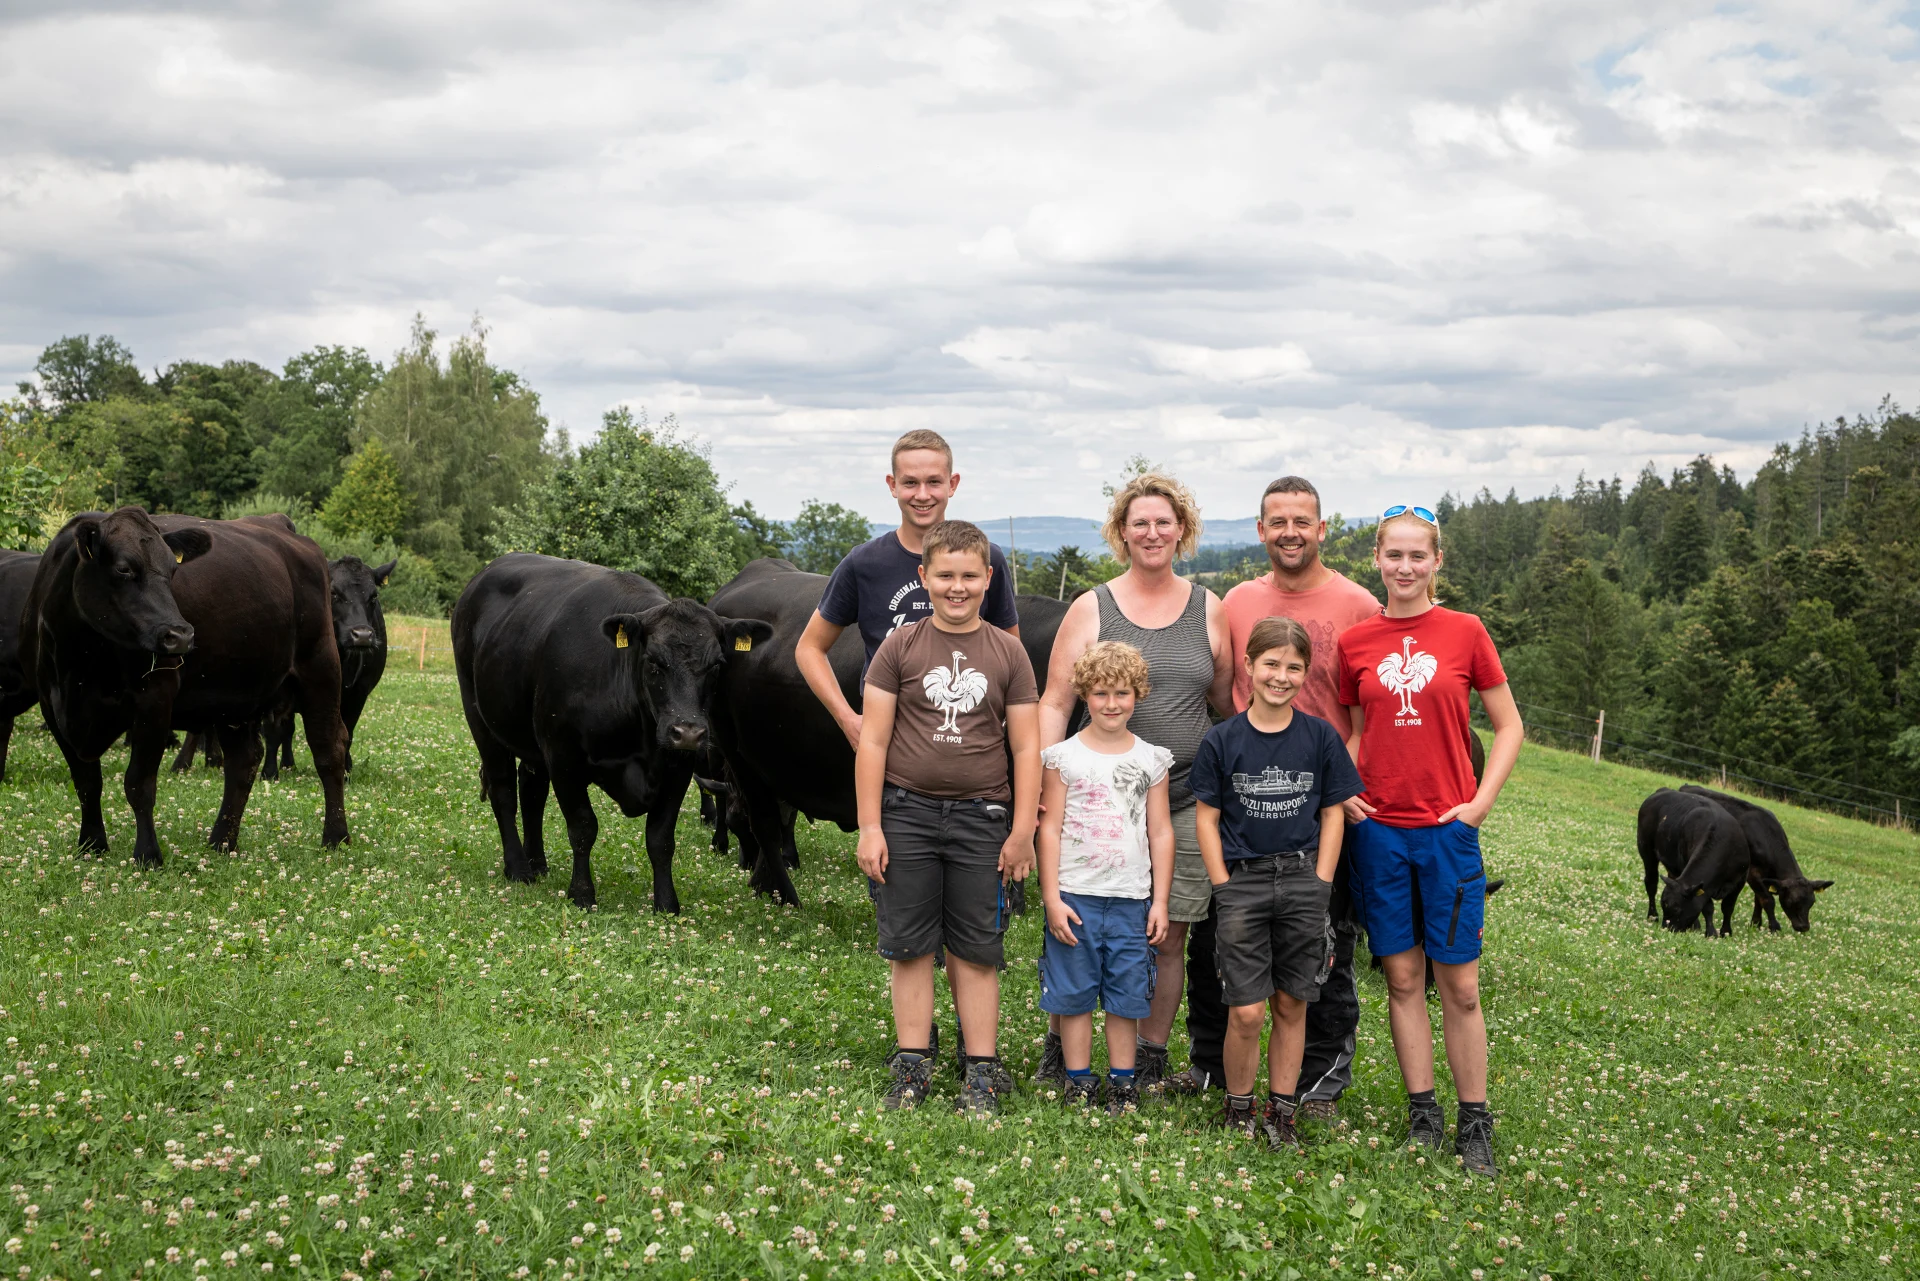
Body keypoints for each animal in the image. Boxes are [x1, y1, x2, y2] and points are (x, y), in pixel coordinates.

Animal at [23, 507, 349, 860]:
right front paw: (92, 845)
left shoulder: (154, 700)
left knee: (328, 752)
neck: (81, 662)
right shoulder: (53, 706)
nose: (179, 635)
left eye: (173, 569)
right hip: (235, 695)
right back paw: (222, 841)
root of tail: (277, 523)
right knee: (244, 761)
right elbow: (86, 782)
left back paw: (336, 837)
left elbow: (139, 784)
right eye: (123, 568)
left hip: (321, 671)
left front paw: (148, 854)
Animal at [1643, 787, 1751, 937]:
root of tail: (1663, 790)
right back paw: (1653, 915)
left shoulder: (1740, 879)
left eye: (1676, 909)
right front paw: (1711, 932)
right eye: (1664, 906)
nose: (1666, 928)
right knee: (1651, 882)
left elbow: (1728, 907)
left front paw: (1726, 932)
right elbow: (1708, 907)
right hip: (1646, 850)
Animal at [1681, 783, 1827, 933]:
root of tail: (1688, 786)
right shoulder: (1753, 872)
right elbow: (1767, 900)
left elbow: (1759, 899)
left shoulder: (1766, 877)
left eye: (1812, 902)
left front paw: (1755, 923)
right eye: (1792, 901)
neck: (1766, 836)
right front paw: (1773, 926)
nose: (1804, 927)